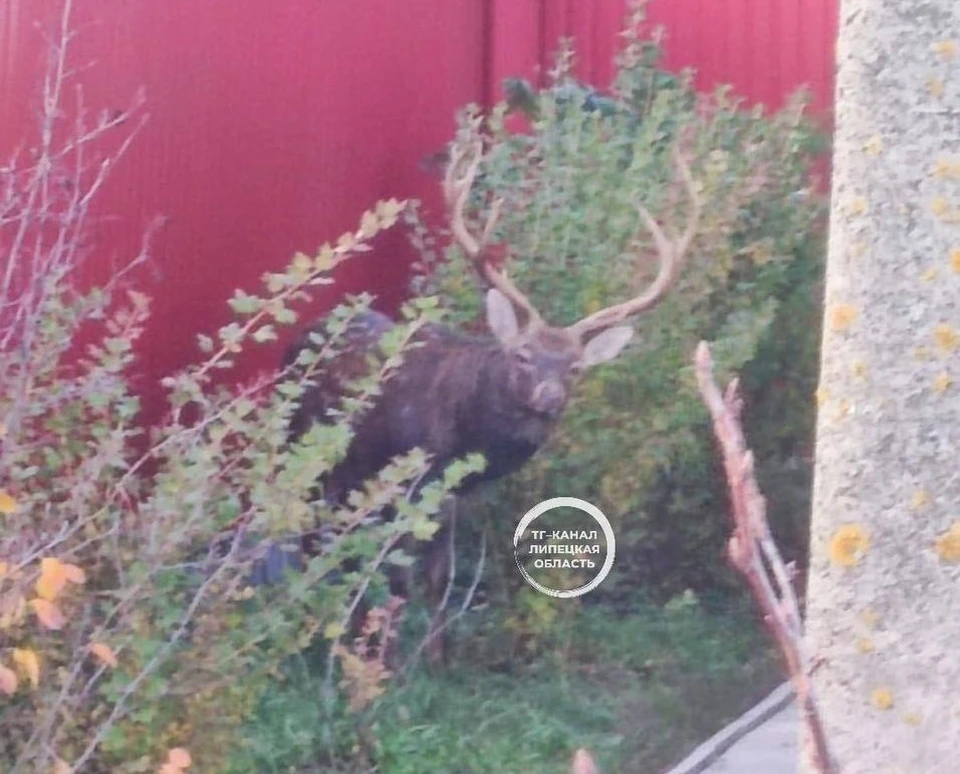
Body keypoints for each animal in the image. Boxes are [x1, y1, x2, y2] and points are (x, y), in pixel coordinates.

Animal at [280, 141, 700, 664]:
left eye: (575, 368)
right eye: (523, 355)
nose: (549, 396)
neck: (463, 435)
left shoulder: (455, 497)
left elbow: (440, 576)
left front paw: (436, 658)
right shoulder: (408, 480)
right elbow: (400, 576)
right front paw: (389, 661)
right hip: (306, 441)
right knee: (306, 525)